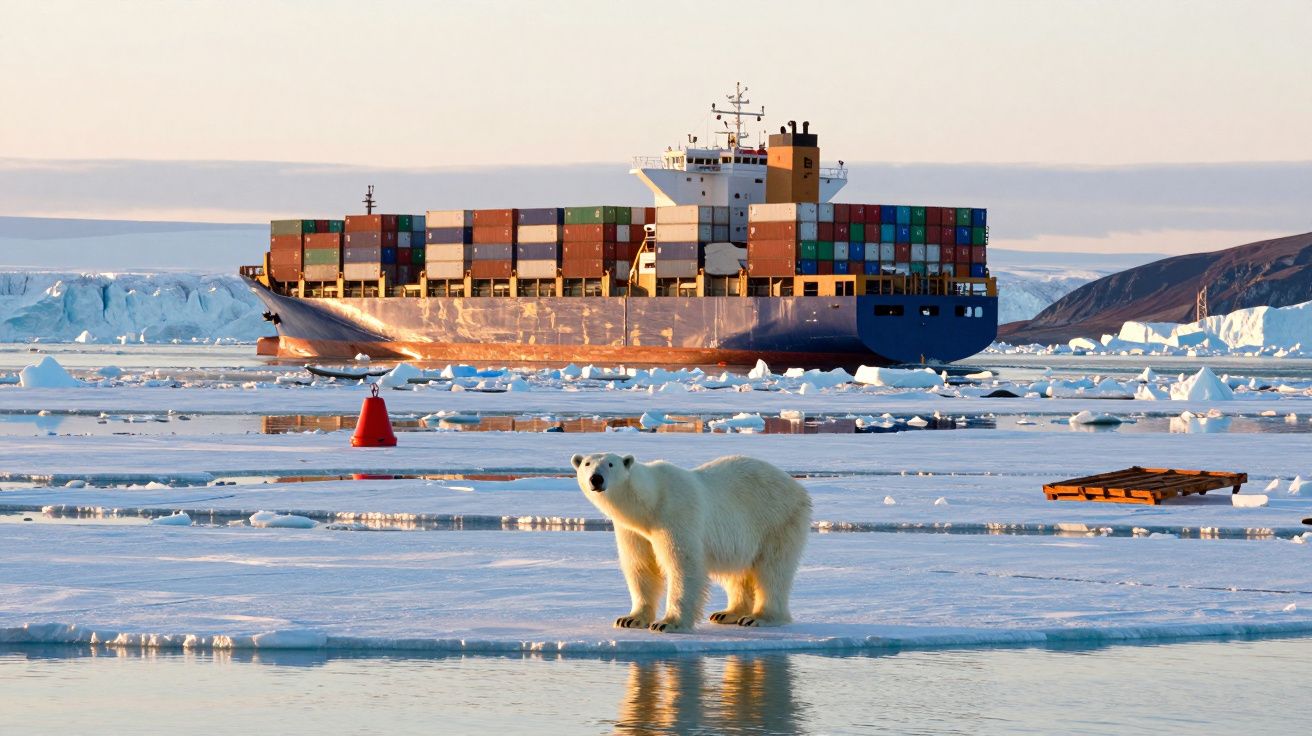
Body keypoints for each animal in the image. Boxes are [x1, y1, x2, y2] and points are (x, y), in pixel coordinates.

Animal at [571, 452, 811, 633]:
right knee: (738, 572)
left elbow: (683, 564)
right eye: (587, 464)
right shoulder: (633, 531)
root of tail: (797, 487)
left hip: (776, 519)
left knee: (773, 569)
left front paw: (667, 623)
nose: (596, 479)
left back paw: (760, 617)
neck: (650, 503)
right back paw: (727, 613)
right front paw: (630, 619)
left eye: (610, 464)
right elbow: (640, 566)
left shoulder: (675, 515)